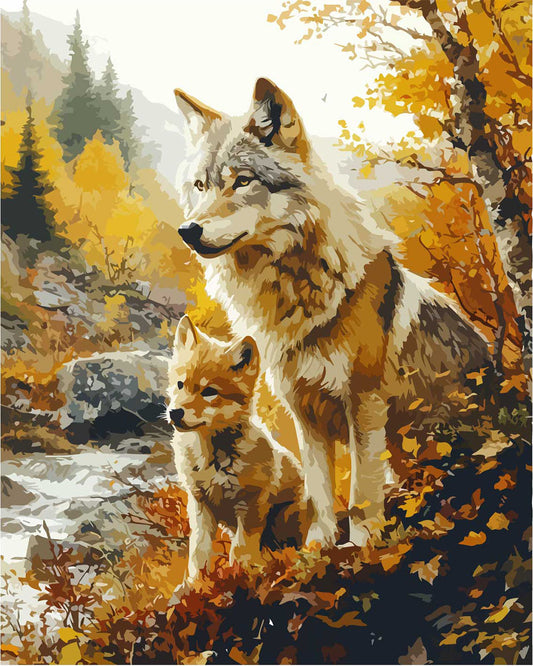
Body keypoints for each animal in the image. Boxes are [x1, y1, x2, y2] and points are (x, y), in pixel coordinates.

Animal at [167, 316, 311, 585]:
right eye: (180, 385)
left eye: (209, 391)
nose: (174, 413)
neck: (211, 460)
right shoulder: (200, 505)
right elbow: (198, 554)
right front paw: (195, 585)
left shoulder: (251, 504)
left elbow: (241, 551)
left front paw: (241, 576)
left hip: (283, 518)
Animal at [173, 78, 491, 547]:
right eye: (200, 186)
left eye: (242, 181)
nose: (187, 230)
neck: (296, 294)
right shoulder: (303, 410)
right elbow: (320, 492)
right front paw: (317, 547)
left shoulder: (364, 404)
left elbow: (360, 490)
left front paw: (361, 545)